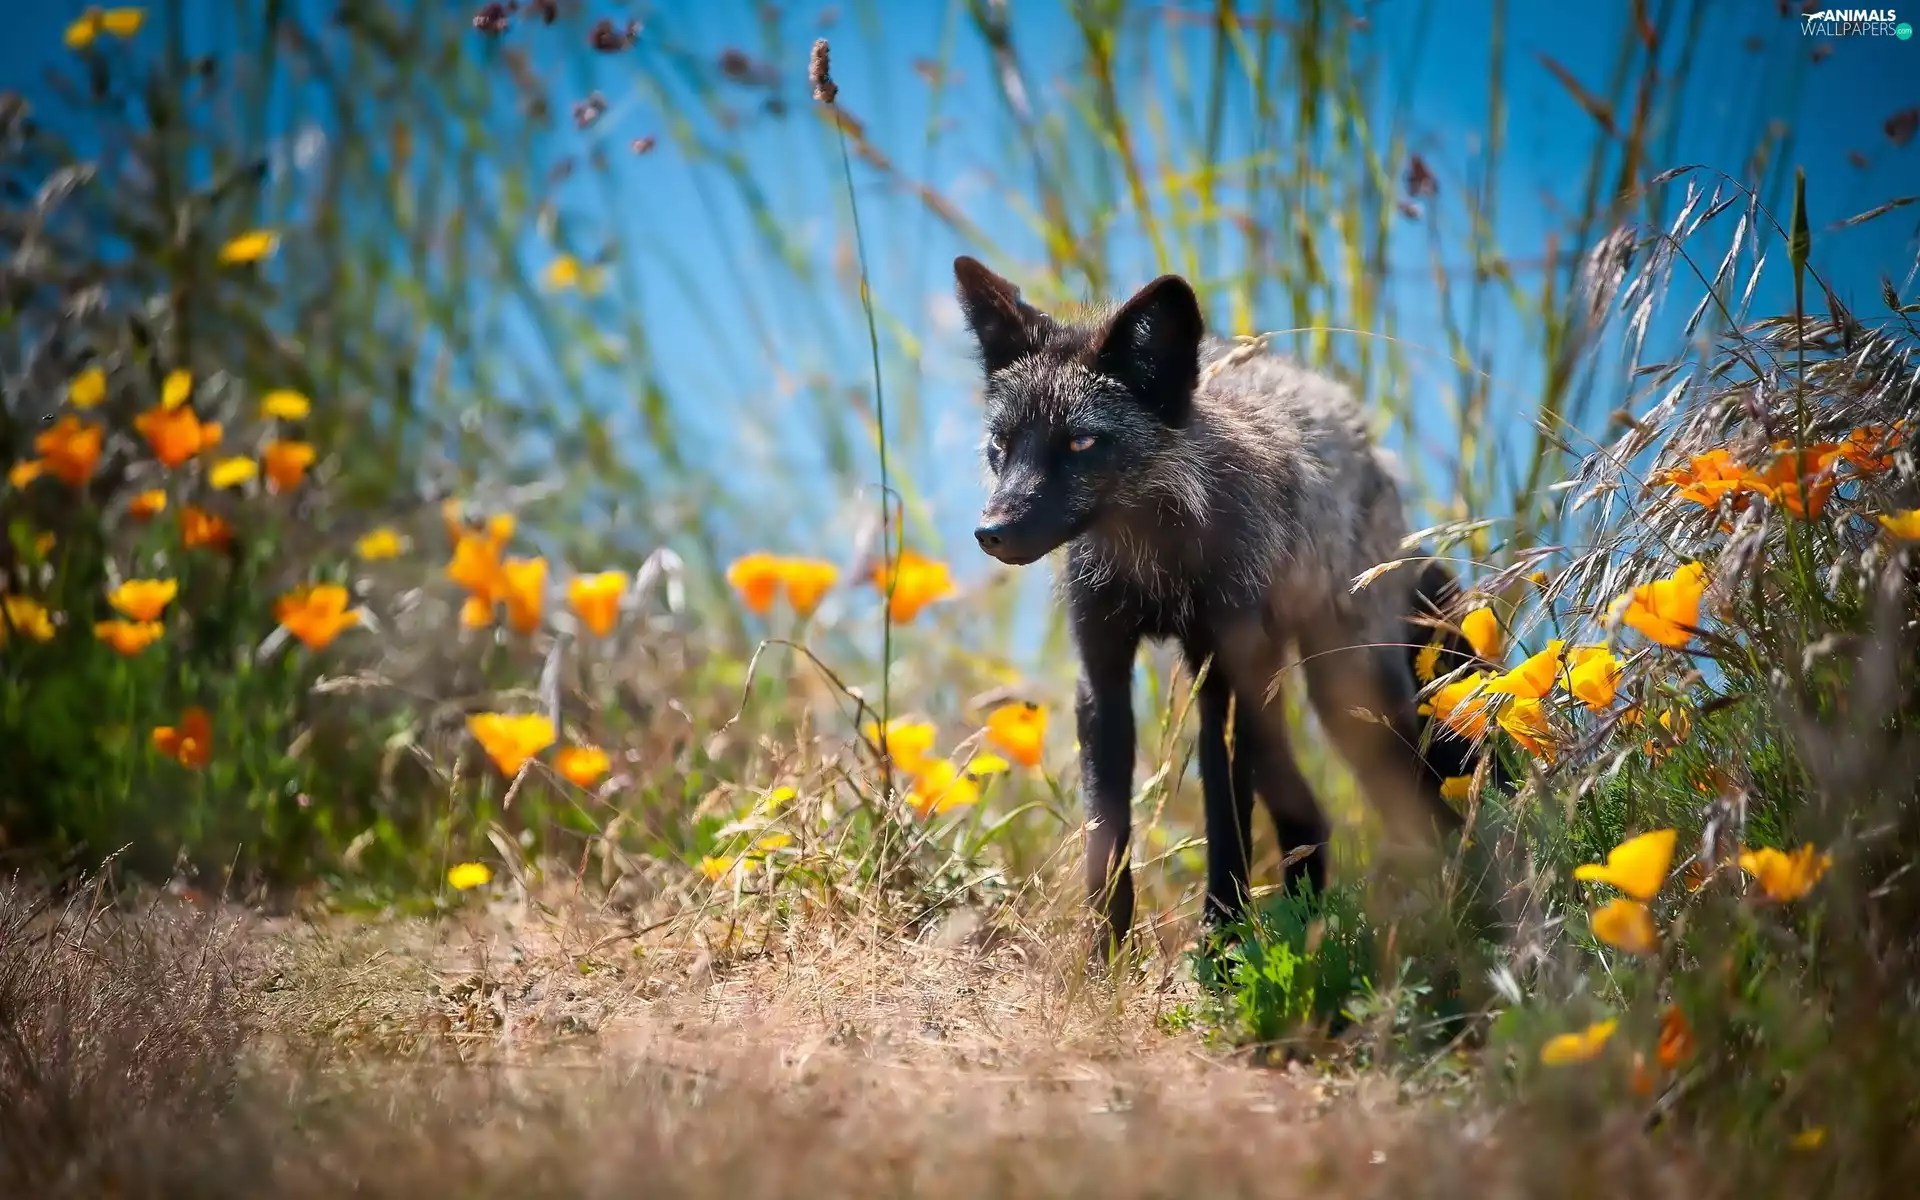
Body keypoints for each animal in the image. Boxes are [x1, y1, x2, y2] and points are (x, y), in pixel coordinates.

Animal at [953, 256, 1494, 953]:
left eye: (1080, 444)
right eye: (1002, 444)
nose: (990, 532)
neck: (1155, 568)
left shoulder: (1223, 682)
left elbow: (1226, 825)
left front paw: (1221, 946)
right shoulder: (1102, 678)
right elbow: (1108, 837)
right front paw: (1102, 959)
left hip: (1346, 697)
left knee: (1418, 801)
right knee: (1312, 819)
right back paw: (1313, 918)